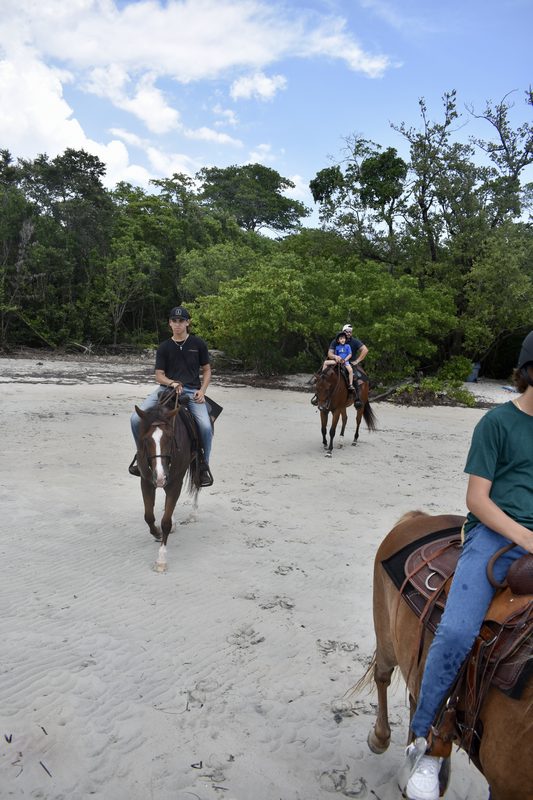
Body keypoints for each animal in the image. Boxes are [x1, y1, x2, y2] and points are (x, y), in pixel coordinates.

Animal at [134, 400, 198, 568]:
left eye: (170, 438)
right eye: (146, 440)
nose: (160, 477)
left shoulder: (175, 483)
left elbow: (166, 522)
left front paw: (161, 559)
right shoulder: (146, 481)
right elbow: (149, 516)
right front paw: (157, 533)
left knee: (197, 484)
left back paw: (194, 513)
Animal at [358, 512, 532, 800]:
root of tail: (421, 517)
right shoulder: (505, 785)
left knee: (418, 700)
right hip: (386, 635)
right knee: (383, 676)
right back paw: (381, 739)